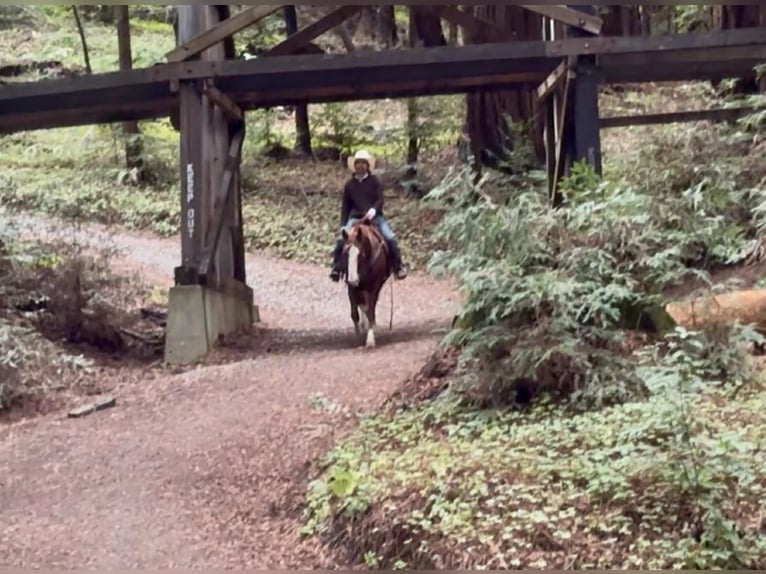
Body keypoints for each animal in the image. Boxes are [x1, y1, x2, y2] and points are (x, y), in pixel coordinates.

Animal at [341, 220, 393, 349]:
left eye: (360, 255)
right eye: (345, 253)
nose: (353, 280)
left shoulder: (375, 287)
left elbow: (370, 312)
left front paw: (370, 341)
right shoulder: (351, 288)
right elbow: (354, 314)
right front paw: (358, 337)